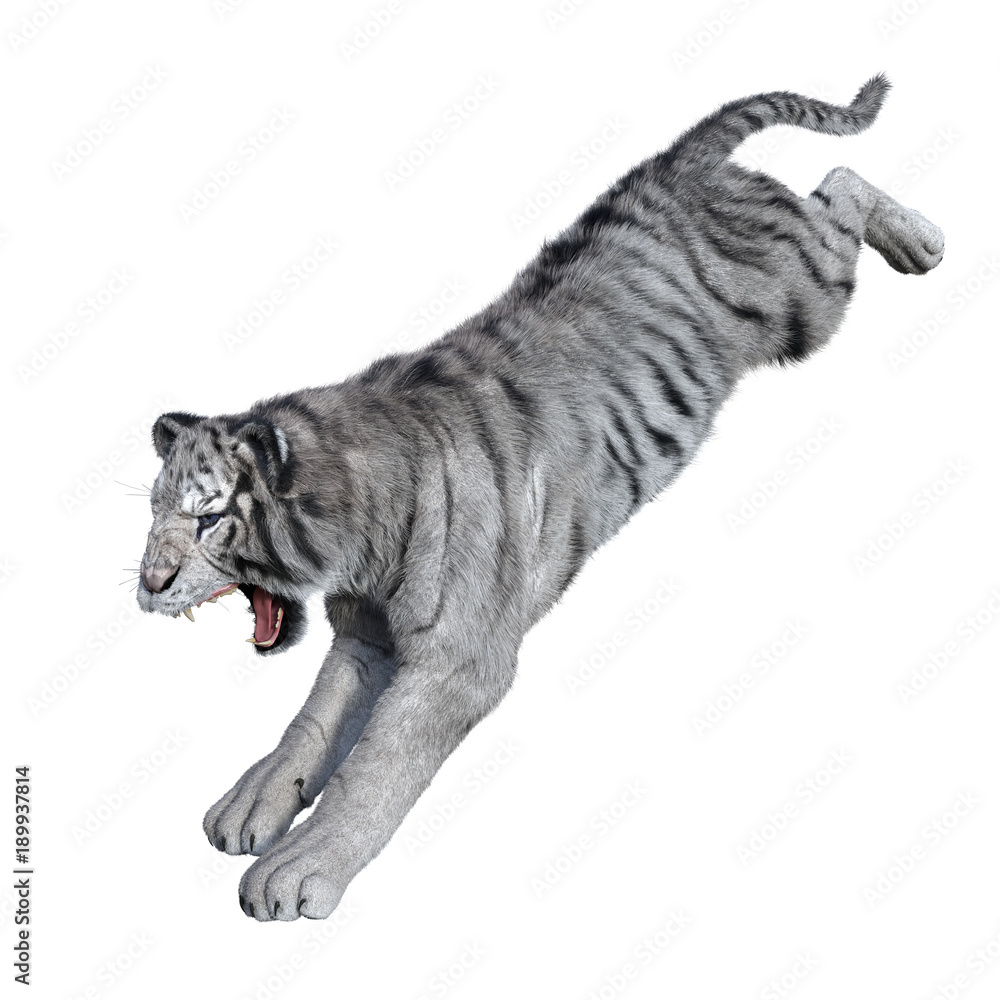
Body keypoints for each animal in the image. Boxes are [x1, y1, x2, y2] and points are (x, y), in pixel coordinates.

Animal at [136, 75, 944, 921]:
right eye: (154, 509)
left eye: (209, 518)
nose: (146, 585)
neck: (359, 534)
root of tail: (671, 164)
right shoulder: (367, 635)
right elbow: (312, 724)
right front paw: (252, 804)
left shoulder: (456, 658)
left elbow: (373, 767)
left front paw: (298, 869)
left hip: (804, 292)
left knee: (840, 188)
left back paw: (924, 245)